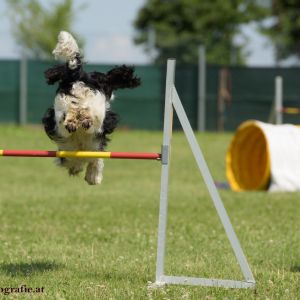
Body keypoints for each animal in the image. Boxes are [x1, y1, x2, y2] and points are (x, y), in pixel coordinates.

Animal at [42, 31, 141, 184]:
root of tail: (79, 76)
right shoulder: (95, 146)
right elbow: (96, 161)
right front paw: (93, 177)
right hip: (95, 112)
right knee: (89, 116)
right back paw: (82, 120)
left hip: (61, 110)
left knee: (67, 118)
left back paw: (73, 121)